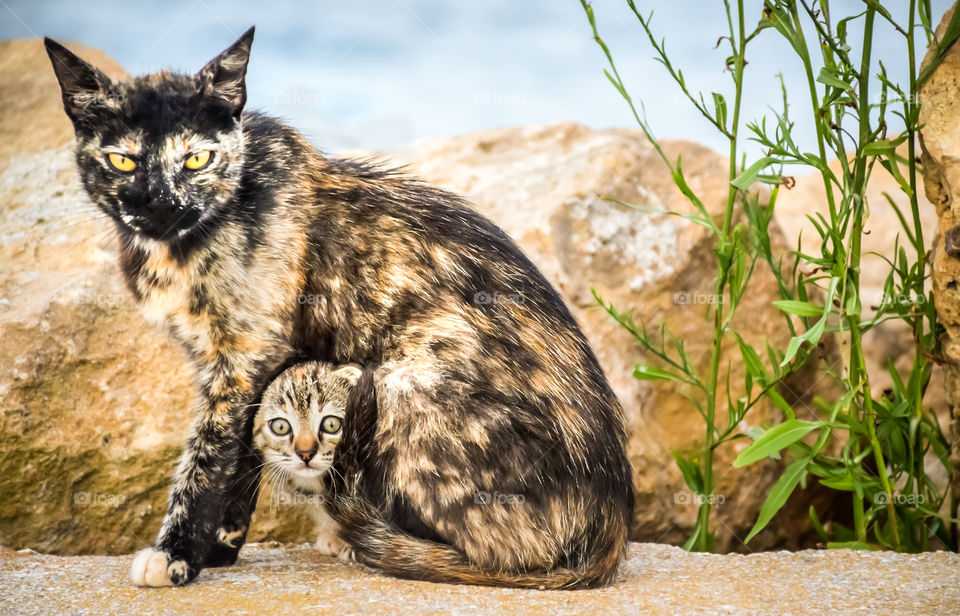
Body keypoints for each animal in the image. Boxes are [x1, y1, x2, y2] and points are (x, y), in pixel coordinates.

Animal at [45, 26, 632, 588]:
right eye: (123, 160)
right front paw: (218, 547)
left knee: (503, 556)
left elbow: (210, 458)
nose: (163, 205)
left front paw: (176, 555)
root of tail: (611, 531)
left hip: (401, 386)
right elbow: (248, 449)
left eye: (197, 159)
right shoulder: (247, 366)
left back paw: (374, 538)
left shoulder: (243, 360)